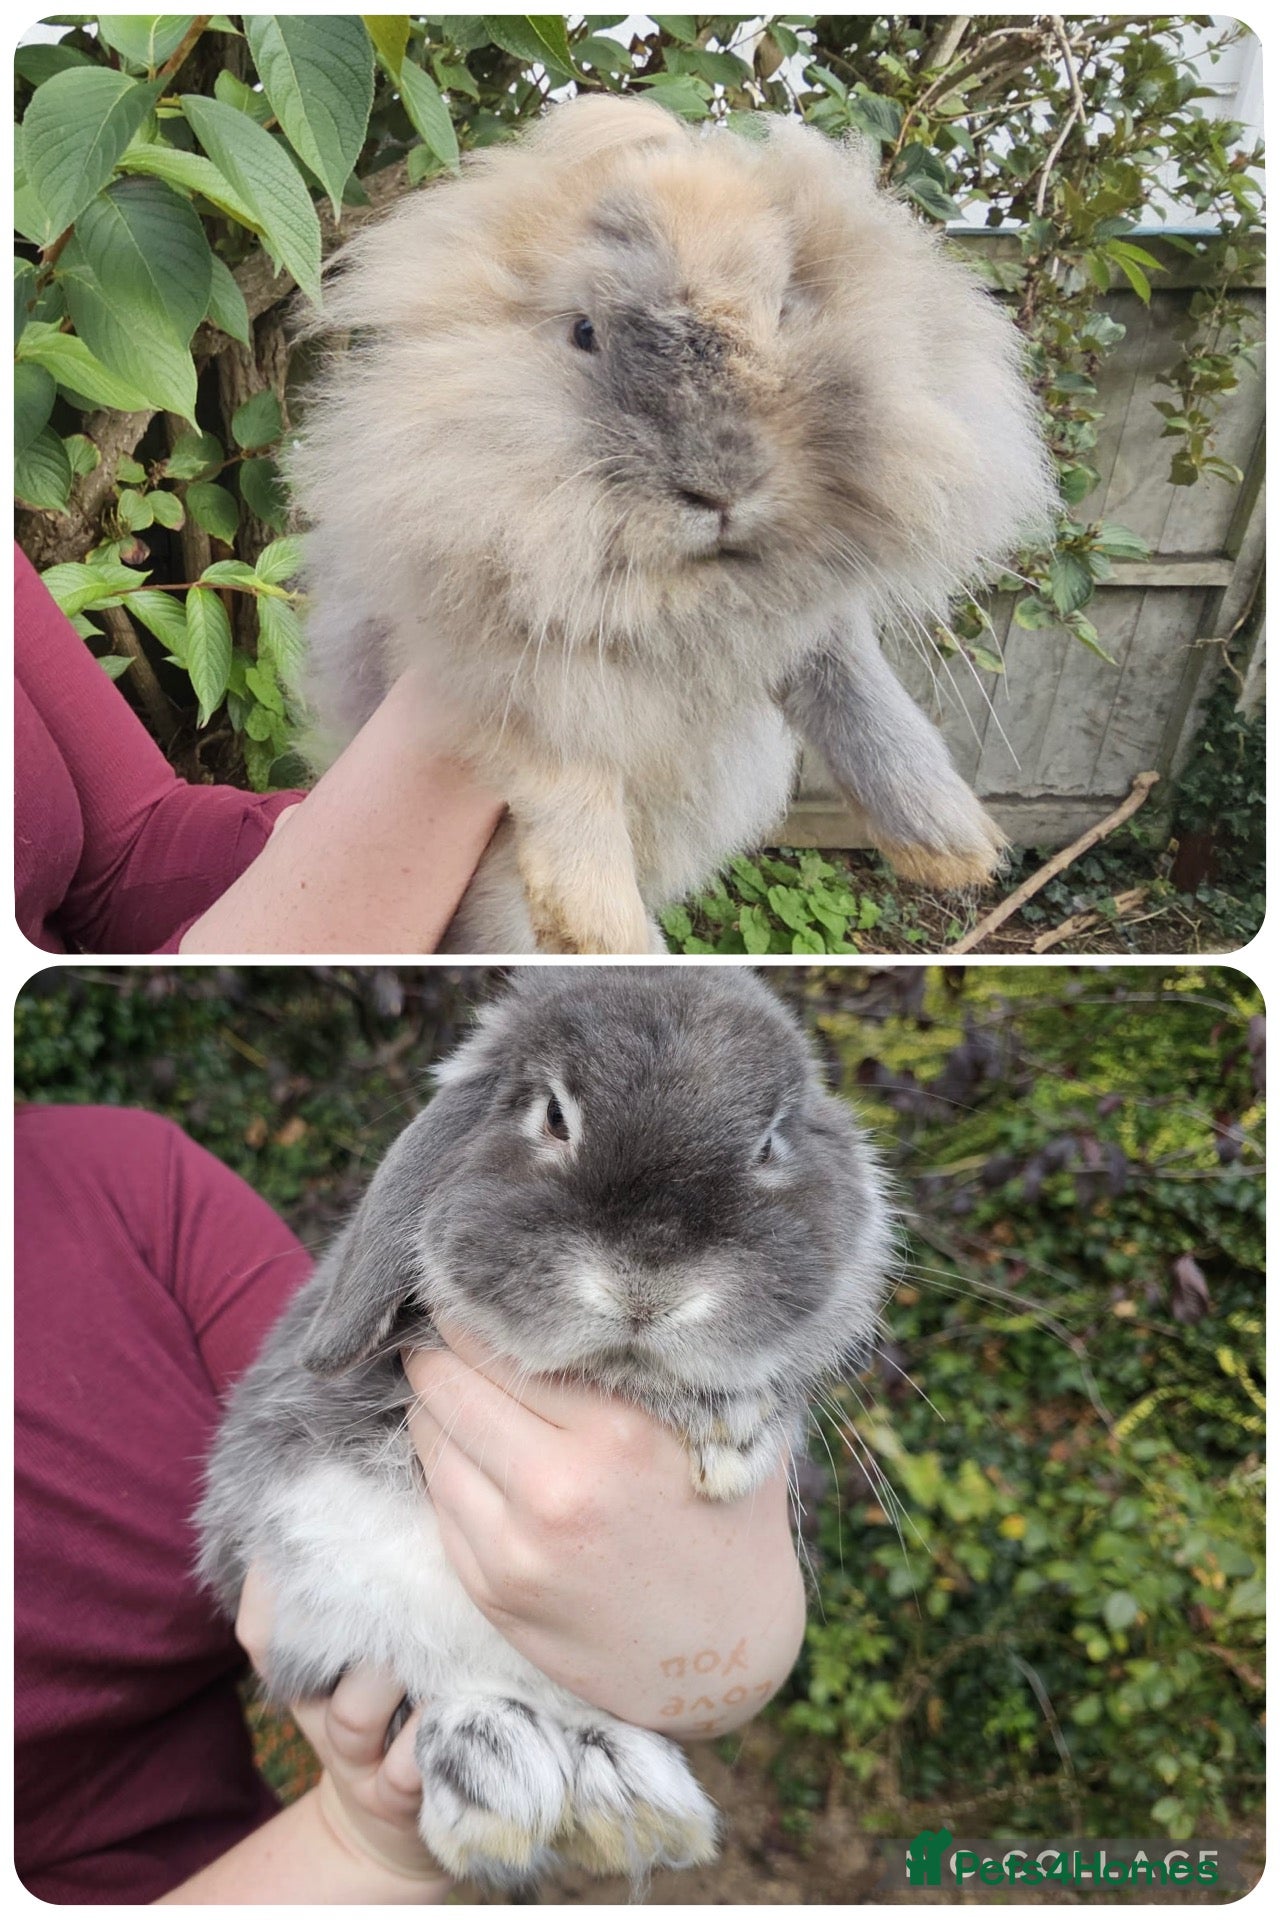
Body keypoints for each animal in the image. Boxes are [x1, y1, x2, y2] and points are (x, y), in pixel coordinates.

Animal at [195, 966, 896, 1890]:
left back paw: (624, 1800)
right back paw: (502, 1779)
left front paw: (732, 1432)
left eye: (771, 1144)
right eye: (554, 1116)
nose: (646, 1284)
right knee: (434, 1684)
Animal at [287, 93, 1057, 954]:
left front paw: (952, 848)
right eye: (584, 332)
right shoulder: (481, 651)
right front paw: (597, 926)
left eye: (784, 309)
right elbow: (558, 753)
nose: (720, 488)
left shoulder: (806, 628)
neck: (680, 598)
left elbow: (863, 694)